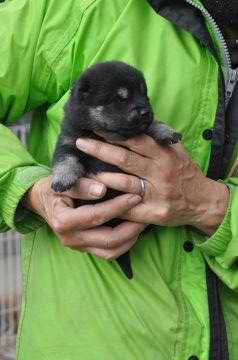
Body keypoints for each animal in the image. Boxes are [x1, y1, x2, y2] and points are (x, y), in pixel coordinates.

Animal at [52, 62, 181, 280]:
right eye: (121, 99)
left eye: (145, 95)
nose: (146, 111)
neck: (107, 135)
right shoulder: (69, 140)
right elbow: (66, 158)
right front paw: (62, 179)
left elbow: (152, 126)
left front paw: (167, 131)